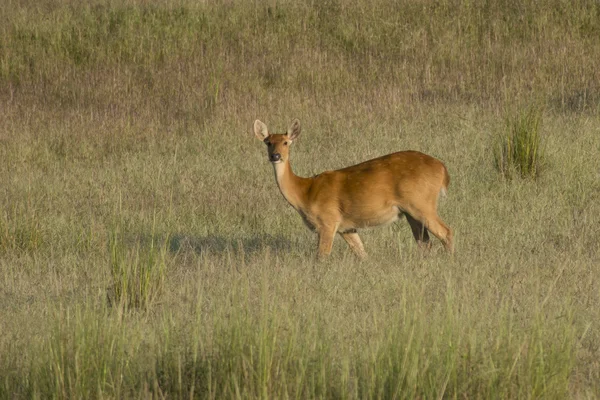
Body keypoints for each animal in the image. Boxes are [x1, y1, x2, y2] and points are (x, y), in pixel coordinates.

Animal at [253, 116, 454, 260]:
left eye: (286, 142)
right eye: (268, 142)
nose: (275, 156)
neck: (305, 192)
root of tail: (442, 168)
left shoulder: (328, 221)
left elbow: (321, 257)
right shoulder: (347, 228)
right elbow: (363, 254)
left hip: (421, 203)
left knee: (446, 232)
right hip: (410, 212)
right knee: (425, 242)